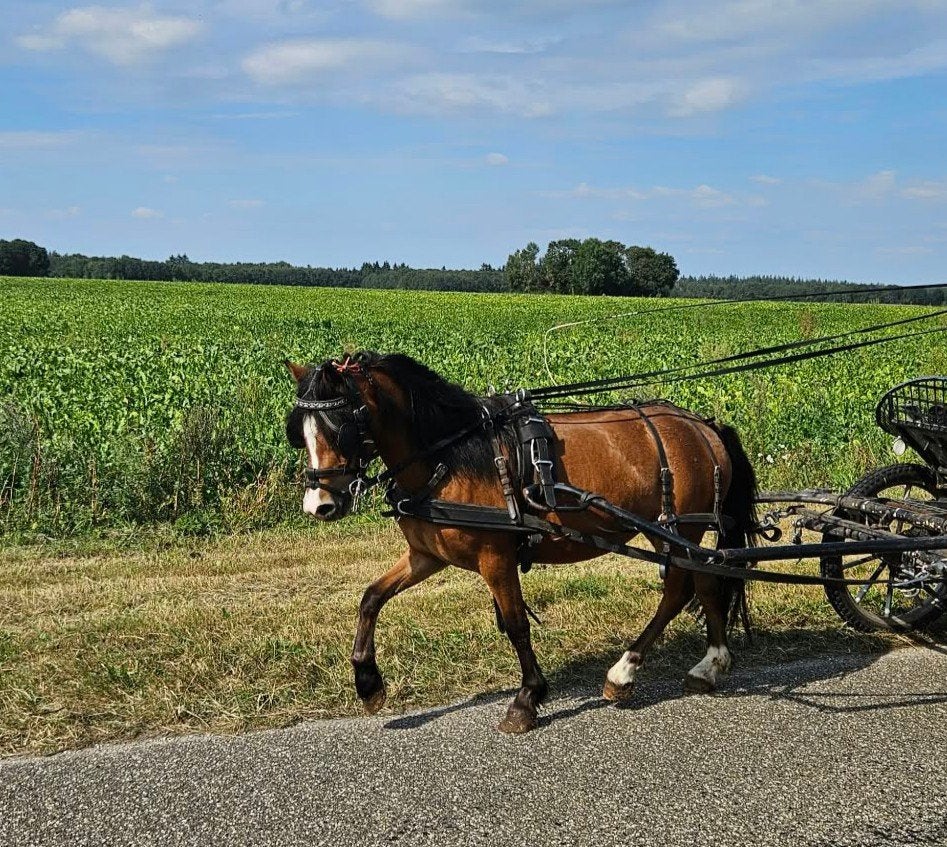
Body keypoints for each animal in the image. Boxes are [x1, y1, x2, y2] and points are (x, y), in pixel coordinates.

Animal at [284, 351, 758, 734]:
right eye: (299, 431)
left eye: (341, 426)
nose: (318, 505)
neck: (448, 456)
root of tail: (705, 427)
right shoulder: (426, 555)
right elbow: (371, 598)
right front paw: (368, 683)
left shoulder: (496, 557)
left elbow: (515, 625)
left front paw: (527, 699)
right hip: (675, 532)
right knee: (704, 582)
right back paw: (710, 664)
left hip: (679, 527)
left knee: (680, 588)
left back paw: (625, 671)